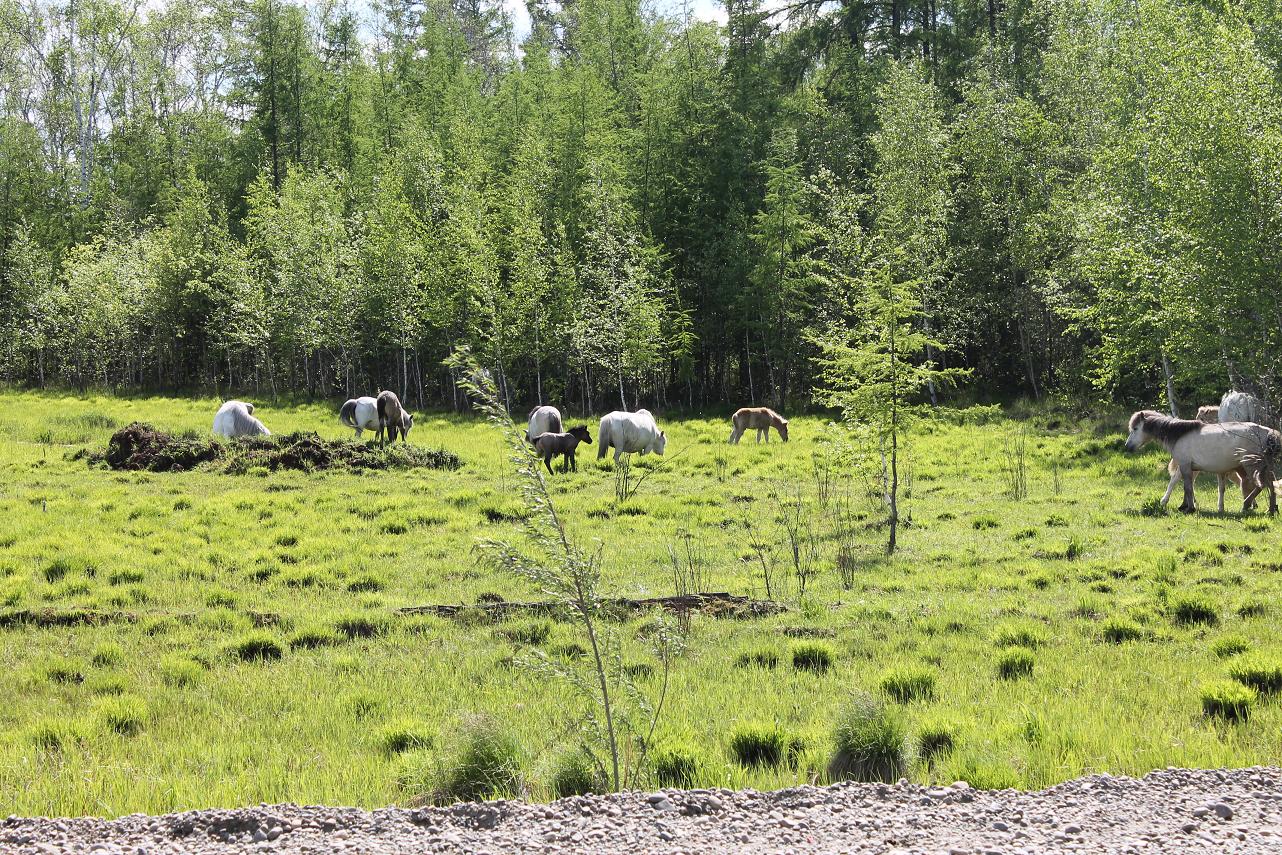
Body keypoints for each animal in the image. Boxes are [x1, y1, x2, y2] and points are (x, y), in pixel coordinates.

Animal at [1126, 410, 1279, 514]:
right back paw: (1271, 510)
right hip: (1264, 467)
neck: (1179, 434)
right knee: (1271, 486)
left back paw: (1246, 504)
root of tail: (1267, 432)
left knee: (1260, 485)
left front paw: (1190, 508)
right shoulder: (1188, 467)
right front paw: (1182, 505)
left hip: (1251, 466)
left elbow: (1187, 487)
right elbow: (1180, 484)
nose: (1128, 447)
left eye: (1135, 428)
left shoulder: (1185, 465)